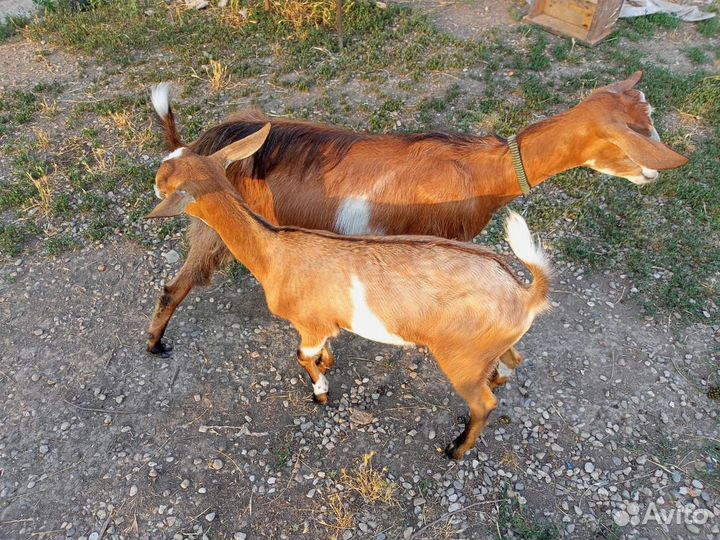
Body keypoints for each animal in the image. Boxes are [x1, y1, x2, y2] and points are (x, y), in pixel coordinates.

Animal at [145, 72, 686, 387]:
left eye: (648, 118)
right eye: (629, 137)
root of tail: (205, 142)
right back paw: (154, 346)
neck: (481, 171)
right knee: (175, 286)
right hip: (209, 229)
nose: (655, 172)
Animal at [146, 124, 552, 459]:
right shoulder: (323, 323)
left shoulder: (308, 323)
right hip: (489, 345)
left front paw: (321, 392)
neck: (274, 249)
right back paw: (498, 379)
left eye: (166, 177)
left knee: (484, 404)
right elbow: (322, 348)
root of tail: (526, 293)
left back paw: (455, 449)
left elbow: (302, 356)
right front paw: (328, 363)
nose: (153, 184)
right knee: (512, 359)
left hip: (461, 360)